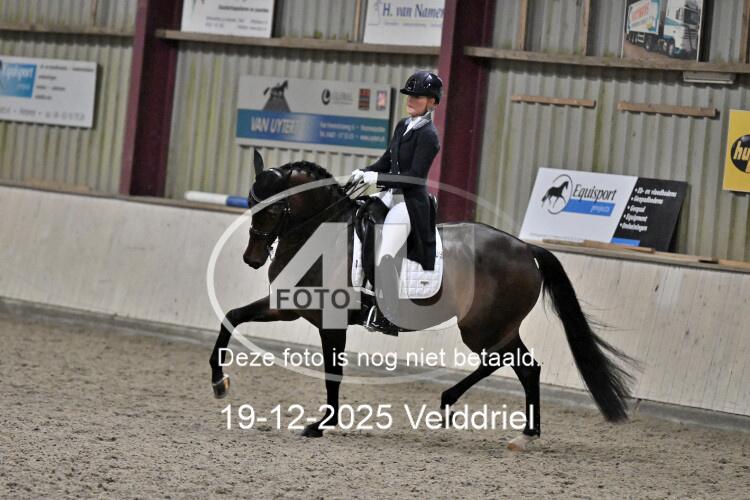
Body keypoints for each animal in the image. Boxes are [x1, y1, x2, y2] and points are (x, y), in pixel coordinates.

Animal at [209, 153, 634, 450]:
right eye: (250, 202)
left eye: (274, 208)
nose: (252, 258)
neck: (321, 235)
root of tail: (526, 249)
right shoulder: (289, 306)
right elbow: (231, 317)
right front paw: (218, 382)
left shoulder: (331, 321)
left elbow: (333, 372)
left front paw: (320, 425)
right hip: (495, 327)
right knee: (525, 368)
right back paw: (521, 433)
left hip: (482, 327)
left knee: (510, 363)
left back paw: (455, 404)